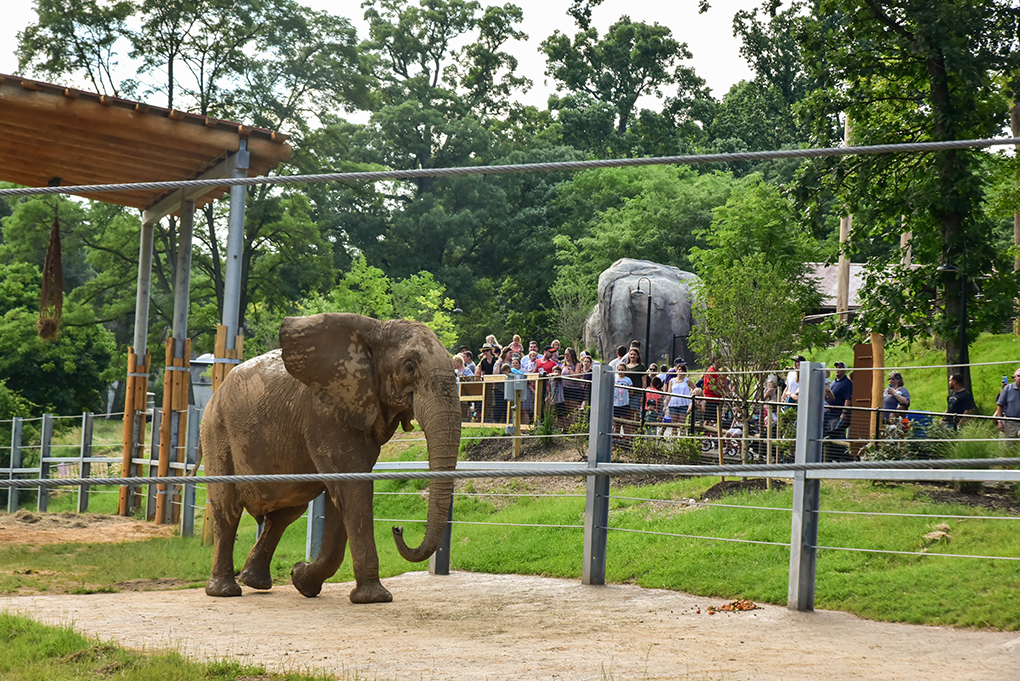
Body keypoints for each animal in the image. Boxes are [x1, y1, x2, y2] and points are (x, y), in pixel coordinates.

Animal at [197, 311, 459, 603]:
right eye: (410, 367)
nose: (397, 529)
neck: (374, 330)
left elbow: (342, 495)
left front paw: (302, 580)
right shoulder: (325, 412)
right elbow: (354, 488)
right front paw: (374, 598)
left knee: (285, 513)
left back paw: (256, 582)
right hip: (216, 430)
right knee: (227, 509)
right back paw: (225, 591)